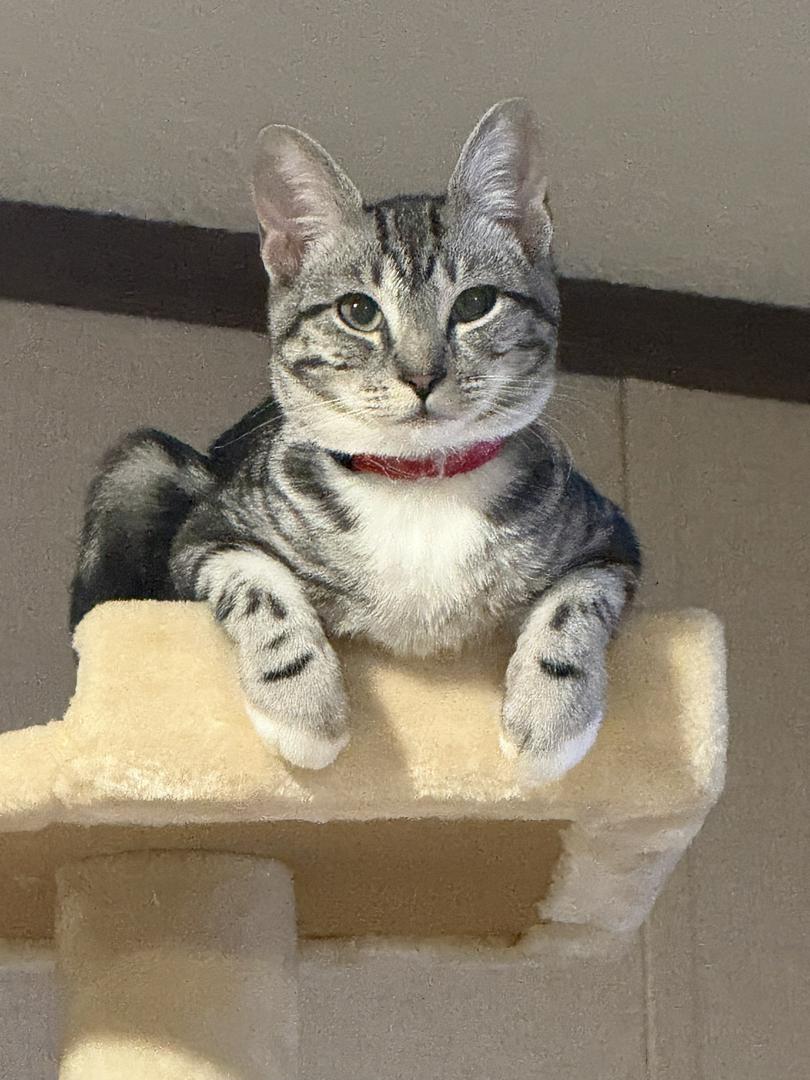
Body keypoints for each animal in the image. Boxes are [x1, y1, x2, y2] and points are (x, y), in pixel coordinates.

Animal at [70, 100, 640, 783]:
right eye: (358, 312)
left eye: (476, 302)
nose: (422, 375)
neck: (418, 488)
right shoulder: (211, 527)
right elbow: (259, 586)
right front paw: (303, 709)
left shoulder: (607, 536)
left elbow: (576, 602)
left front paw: (553, 719)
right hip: (142, 470)